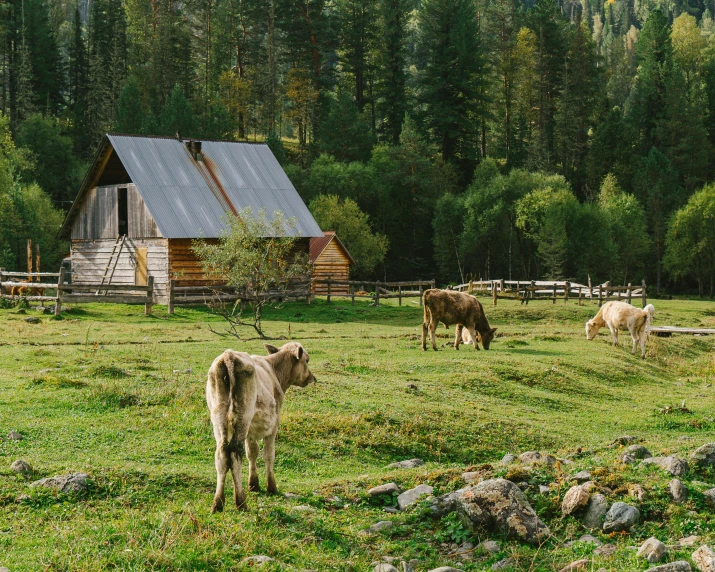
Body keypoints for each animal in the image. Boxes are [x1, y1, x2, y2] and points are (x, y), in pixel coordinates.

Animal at [208, 342, 318, 512]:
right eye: (307, 360)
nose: (312, 378)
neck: (274, 371)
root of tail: (229, 356)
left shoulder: (251, 430)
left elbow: (252, 452)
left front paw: (253, 484)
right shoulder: (273, 425)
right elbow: (268, 454)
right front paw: (271, 486)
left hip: (219, 418)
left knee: (221, 454)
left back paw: (218, 503)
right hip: (242, 416)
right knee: (235, 453)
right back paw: (240, 502)